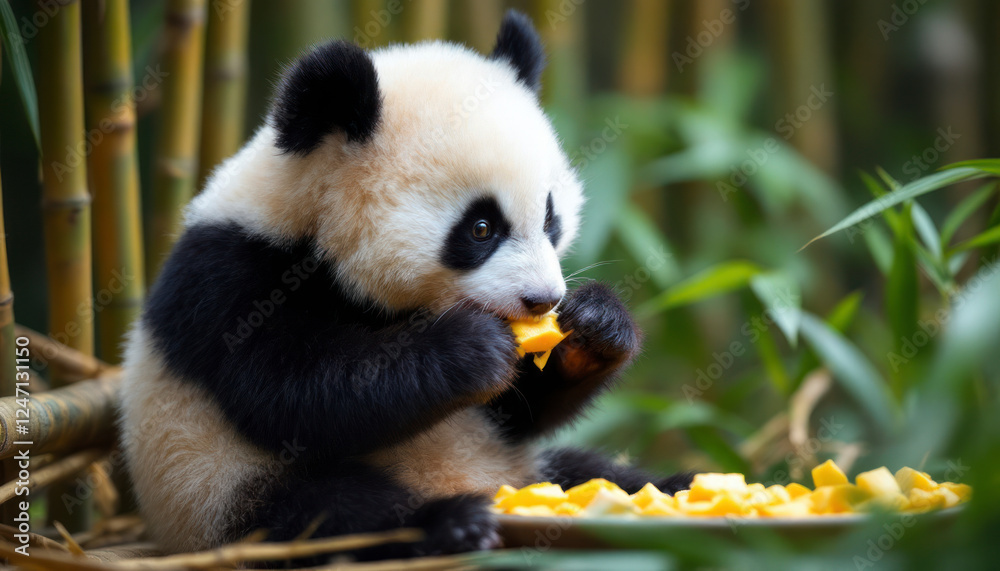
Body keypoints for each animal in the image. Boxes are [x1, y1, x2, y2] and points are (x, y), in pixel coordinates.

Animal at [119, 10, 690, 560]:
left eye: (550, 218)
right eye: (481, 228)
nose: (542, 300)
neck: (311, 224)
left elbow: (517, 411)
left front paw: (595, 326)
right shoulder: (232, 278)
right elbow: (294, 393)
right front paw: (470, 349)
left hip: (526, 463)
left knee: (592, 471)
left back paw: (672, 487)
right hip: (215, 488)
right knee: (323, 511)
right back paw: (448, 523)